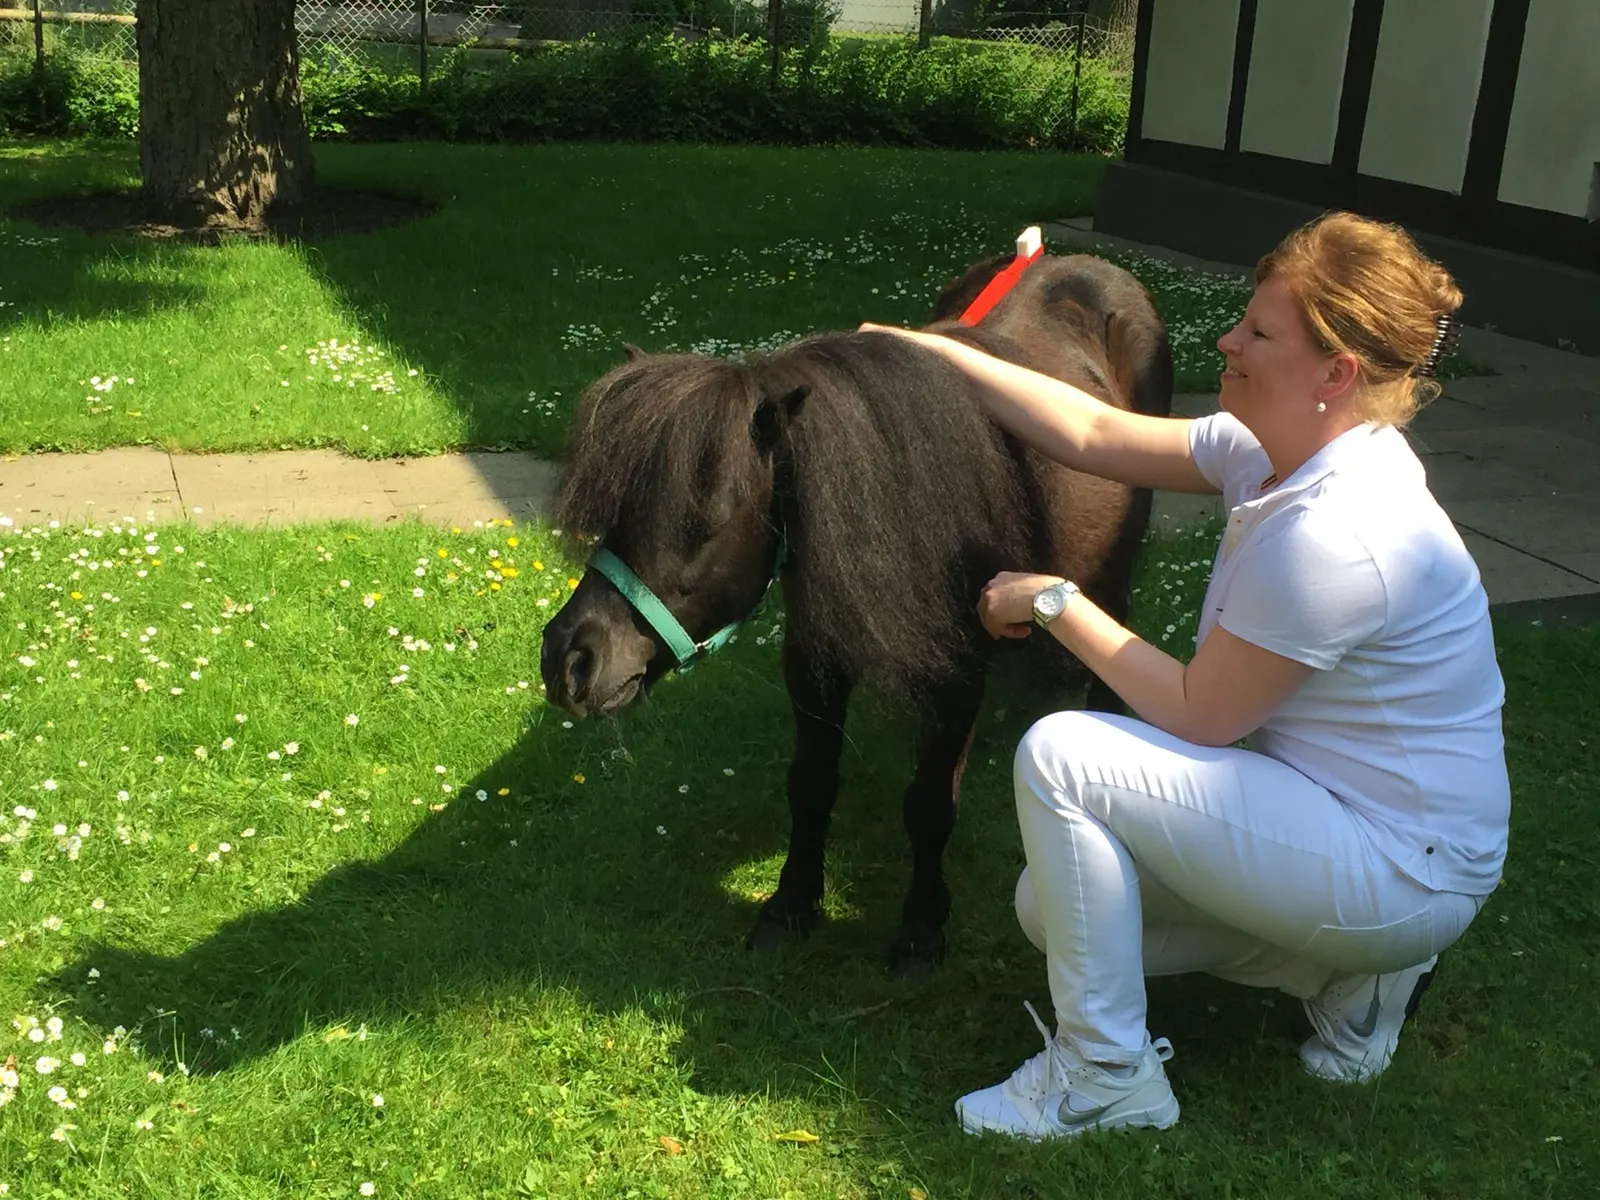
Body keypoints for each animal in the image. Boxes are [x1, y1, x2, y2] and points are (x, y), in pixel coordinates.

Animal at [539, 249, 1174, 975]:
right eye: (617, 509)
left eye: (709, 521)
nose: (569, 660)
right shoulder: (814, 662)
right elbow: (811, 783)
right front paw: (792, 903)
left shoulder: (955, 674)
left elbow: (929, 804)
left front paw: (922, 924)